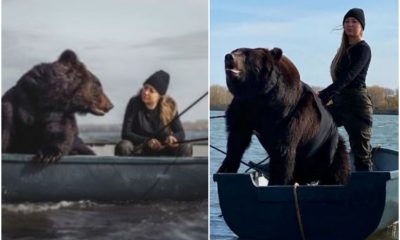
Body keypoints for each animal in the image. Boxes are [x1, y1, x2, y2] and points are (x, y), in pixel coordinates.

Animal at [217, 47, 352, 186]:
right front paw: (225, 169)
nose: (229, 57)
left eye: (246, 54)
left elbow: (283, 149)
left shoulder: (289, 114)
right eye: (236, 50)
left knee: (337, 168)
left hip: (328, 150)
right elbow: (237, 138)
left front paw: (276, 181)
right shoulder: (244, 108)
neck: (261, 96)